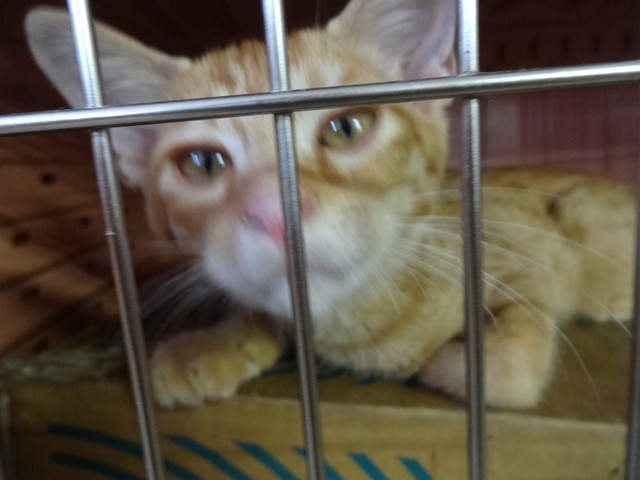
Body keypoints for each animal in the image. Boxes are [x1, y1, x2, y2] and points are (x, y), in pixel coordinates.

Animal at [25, 0, 634, 409]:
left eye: (347, 128)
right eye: (200, 164)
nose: (274, 210)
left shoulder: (514, 254)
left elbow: (513, 361)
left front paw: (455, 364)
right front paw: (214, 344)